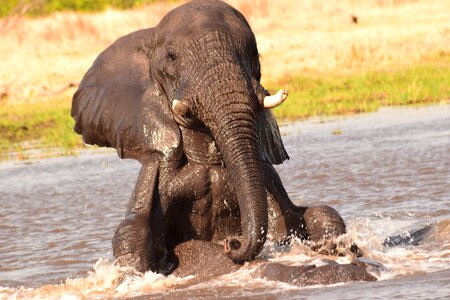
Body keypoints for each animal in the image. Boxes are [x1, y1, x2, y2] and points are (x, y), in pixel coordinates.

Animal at [71, 0, 348, 276]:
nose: (231, 243)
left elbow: (308, 217)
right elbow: (131, 234)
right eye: (172, 57)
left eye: (254, 54)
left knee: (323, 214)